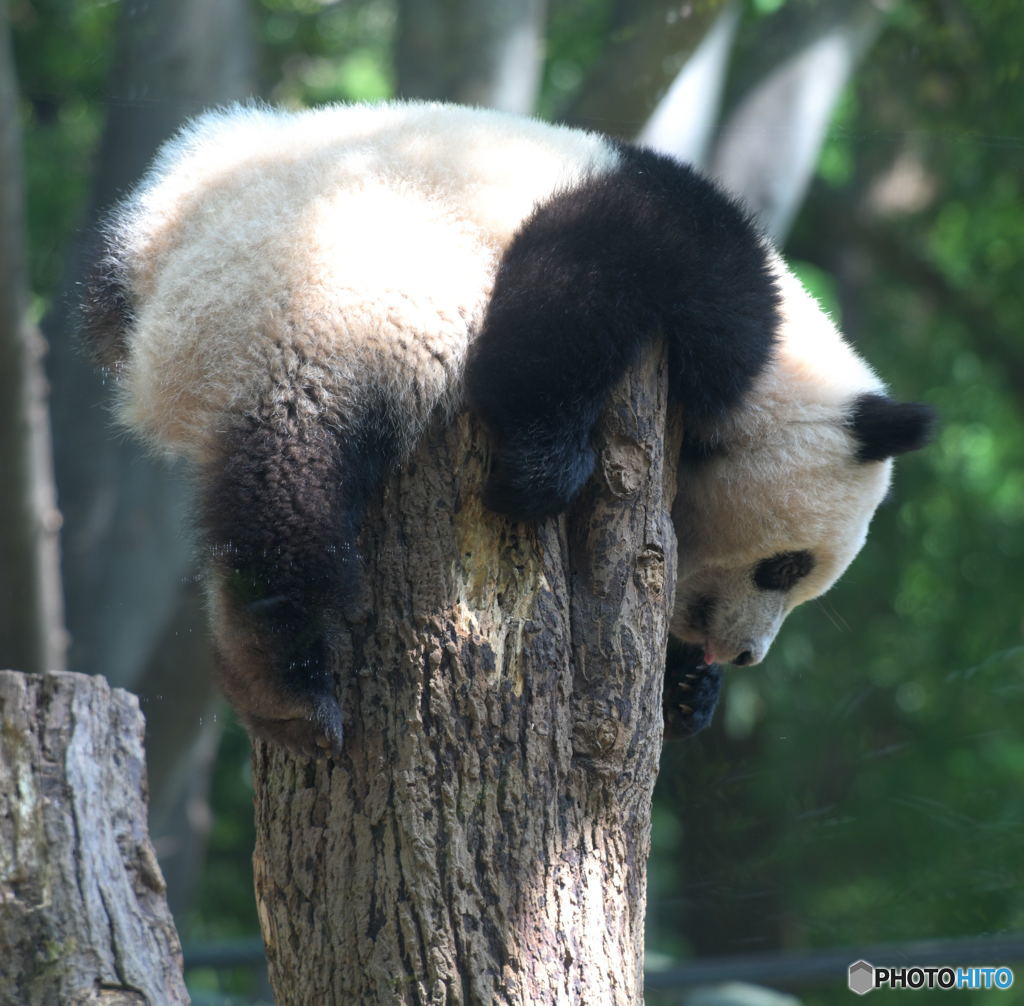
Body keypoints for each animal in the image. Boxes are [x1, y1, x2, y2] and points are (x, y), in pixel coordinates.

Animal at [81, 100, 937, 753]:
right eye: (786, 567)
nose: (746, 652)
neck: (789, 360)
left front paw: (689, 690)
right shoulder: (687, 264)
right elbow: (569, 305)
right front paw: (542, 473)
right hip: (332, 287)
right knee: (297, 465)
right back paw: (286, 680)